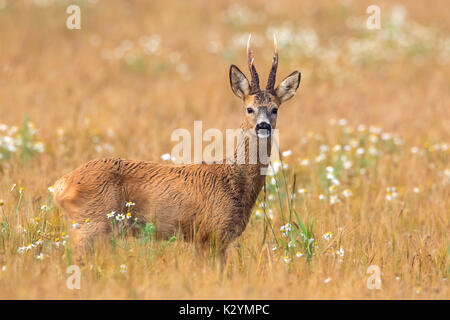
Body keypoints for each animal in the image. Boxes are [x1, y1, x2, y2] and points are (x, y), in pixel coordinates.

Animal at [52, 35, 300, 260]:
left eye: (275, 108)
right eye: (249, 108)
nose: (263, 125)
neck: (235, 181)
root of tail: (61, 185)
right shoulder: (210, 234)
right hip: (92, 224)